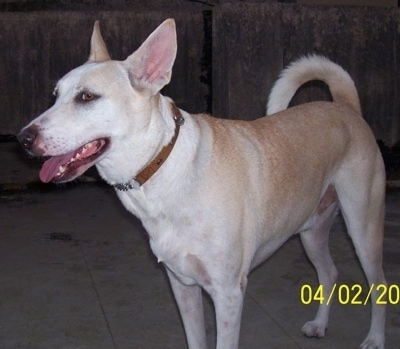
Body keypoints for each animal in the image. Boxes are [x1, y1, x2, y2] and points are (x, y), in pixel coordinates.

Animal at [18, 19, 388, 348]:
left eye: (86, 97)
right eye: (55, 95)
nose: (23, 138)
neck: (164, 166)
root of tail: (346, 107)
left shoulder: (228, 294)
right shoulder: (182, 285)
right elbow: (195, 339)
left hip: (362, 230)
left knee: (379, 283)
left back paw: (374, 339)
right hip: (311, 231)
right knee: (329, 274)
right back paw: (320, 325)